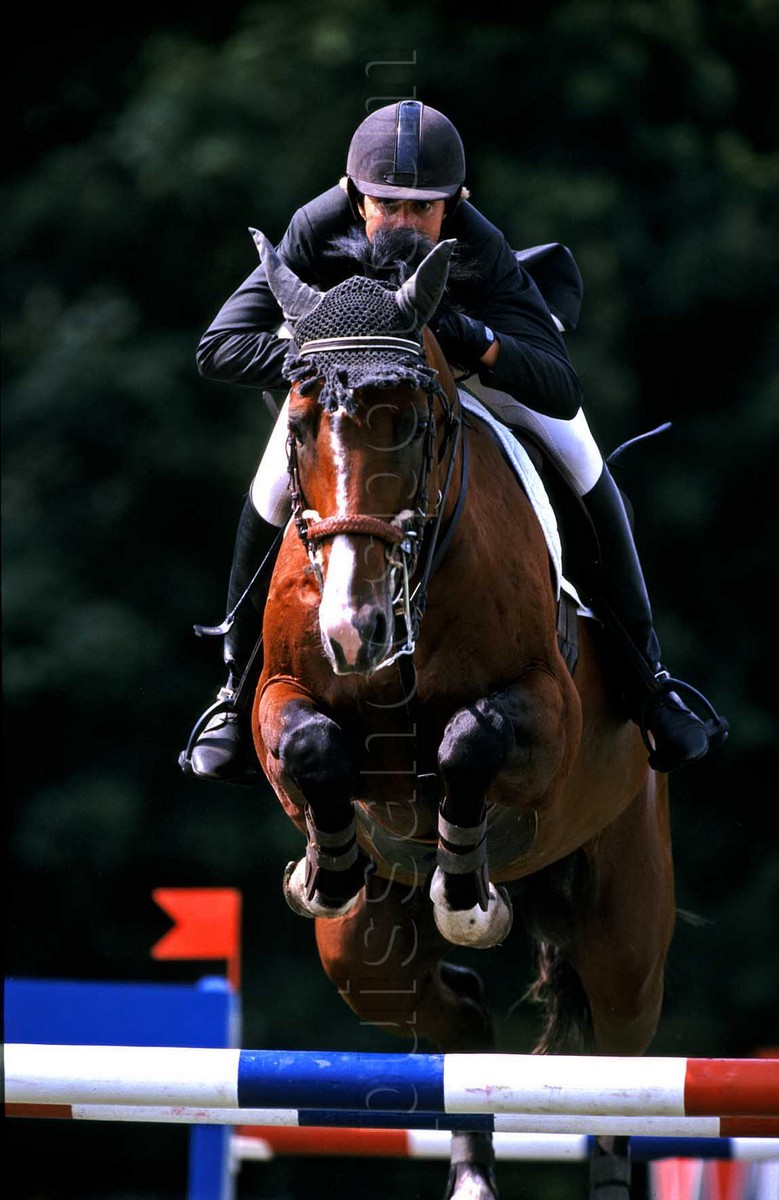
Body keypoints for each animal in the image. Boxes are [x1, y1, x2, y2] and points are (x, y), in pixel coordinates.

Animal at [249, 230, 675, 1200]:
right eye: (298, 425)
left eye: (411, 422)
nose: (353, 628)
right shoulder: (277, 696)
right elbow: (310, 743)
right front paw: (325, 868)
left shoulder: (547, 715)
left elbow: (468, 741)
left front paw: (467, 896)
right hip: (365, 959)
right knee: (456, 1026)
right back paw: (472, 1168)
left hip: (625, 922)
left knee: (618, 1054)